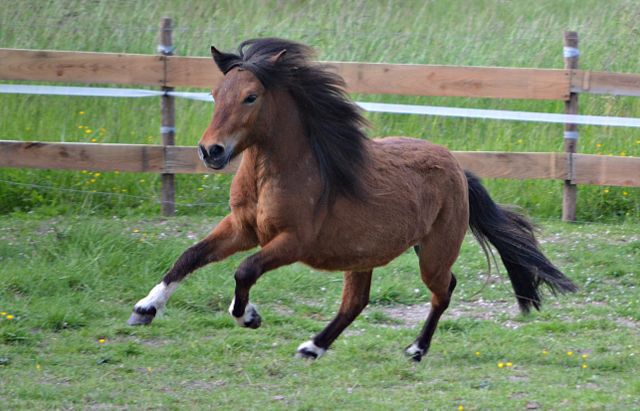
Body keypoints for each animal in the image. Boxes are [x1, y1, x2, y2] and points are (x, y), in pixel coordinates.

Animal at [128, 38, 577, 361]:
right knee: (356, 303)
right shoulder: (241, 228)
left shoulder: (292, 242)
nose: (211, 151)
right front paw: (145, 309)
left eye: (251, 97)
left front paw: (248, 316)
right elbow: (189, 256)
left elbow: (245, 270)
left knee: (443, 290)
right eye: (214, 92)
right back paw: (313, 347)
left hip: (433, 253)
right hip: (362, 255)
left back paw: (415, 349)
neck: (275, 175)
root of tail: (457, 168)